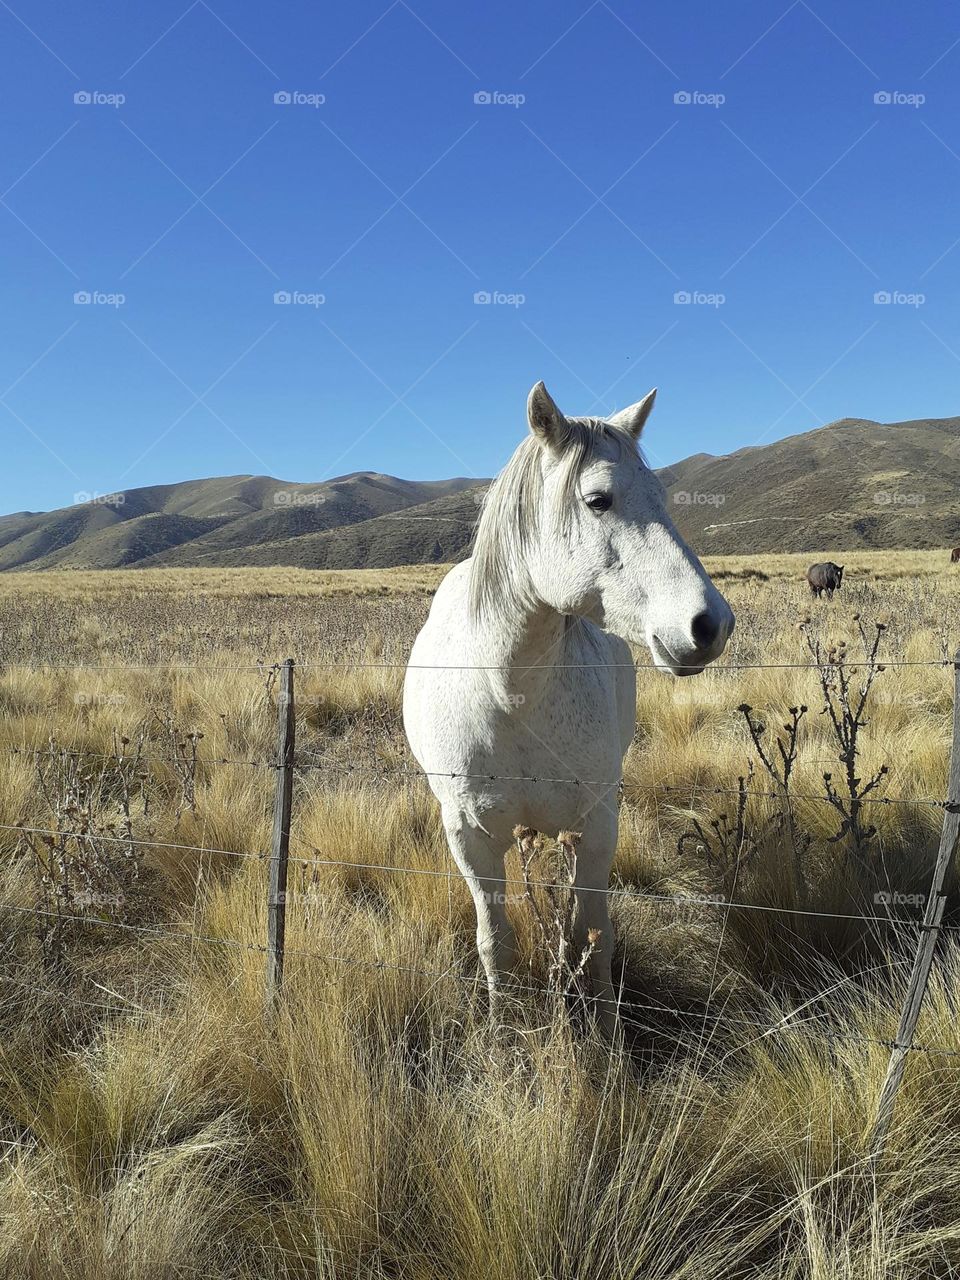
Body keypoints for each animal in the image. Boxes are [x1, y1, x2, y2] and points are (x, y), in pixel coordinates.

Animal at [401, 381, 732, 1029]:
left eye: (663, 497)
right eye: (598, 500)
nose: (710, 625)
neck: (511, 693)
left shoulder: (598, 825)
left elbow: (591, 937)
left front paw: (604, 1034)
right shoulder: (469, 839)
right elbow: (494, 941)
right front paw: (501, 1029)